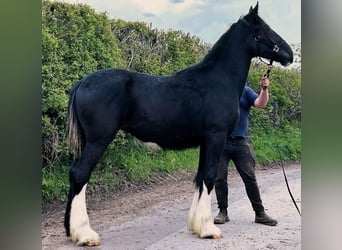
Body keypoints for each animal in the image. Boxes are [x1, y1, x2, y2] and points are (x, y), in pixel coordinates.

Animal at [65, 2, 294, 246]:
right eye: (263, 29)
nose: (289, 54)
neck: (218, 80)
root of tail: (83, 82)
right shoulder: (216, 137)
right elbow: (209, 177)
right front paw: (208, 229)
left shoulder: (206, 141)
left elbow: (200, 177)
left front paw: (197, 225)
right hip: (98, 141)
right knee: (80, 174)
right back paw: (85, 234)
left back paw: (70, 230)